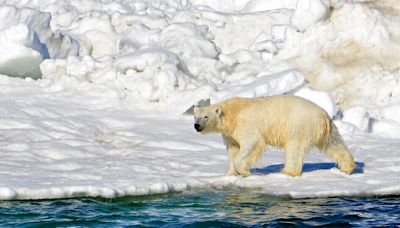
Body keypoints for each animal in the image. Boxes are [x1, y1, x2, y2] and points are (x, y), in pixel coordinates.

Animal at [194, 95, 356, 177]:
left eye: (206, 117)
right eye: (195, 116)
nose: (196, 126)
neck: (231, 113)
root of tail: (323, 116)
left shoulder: (246, 125)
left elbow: (252, 143)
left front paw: (244, 171)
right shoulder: (230, 134)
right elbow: (233, 148)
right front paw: (231, 173)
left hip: (298, 125)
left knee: (294, 149)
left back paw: (287, 171)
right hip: (325, 130)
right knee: (333, 144)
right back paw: (347, 167)